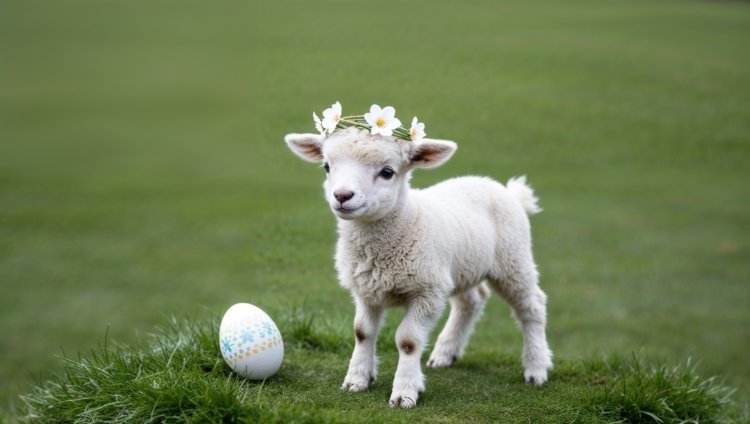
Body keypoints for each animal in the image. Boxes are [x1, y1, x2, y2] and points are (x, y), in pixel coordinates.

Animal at [284, 125, 556, 408]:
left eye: (387, 172)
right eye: (327, 166)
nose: (342, 196)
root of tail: (505, 190)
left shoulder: (427, 293)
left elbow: (408, 342)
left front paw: (404, 392)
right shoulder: (366, 290)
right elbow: (362, 332)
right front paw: (357, 380)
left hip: (513, 259)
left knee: (532, 306)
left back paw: (536, 368)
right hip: (460, 268)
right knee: (471, 301)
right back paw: (445, 353)